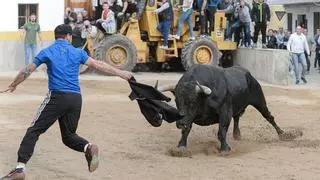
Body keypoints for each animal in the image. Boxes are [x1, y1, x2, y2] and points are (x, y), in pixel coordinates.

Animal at [156, 64, 302, 152]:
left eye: (192, 101)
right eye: (176, 101)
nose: (180, 123)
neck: (204, 98)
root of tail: (248, 74)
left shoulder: (224, 112)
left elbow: (222, 130)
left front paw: (225, 148)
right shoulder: (189, 117)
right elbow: (186, 130)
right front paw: (181, 146)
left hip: (260, 101)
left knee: (269, 117)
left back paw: (283, 134)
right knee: (237, 117)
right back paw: (237, 135)